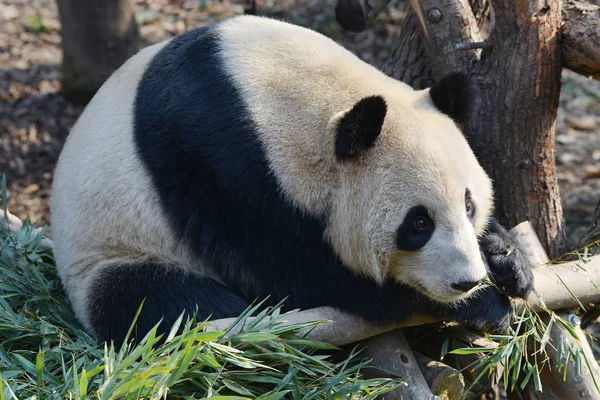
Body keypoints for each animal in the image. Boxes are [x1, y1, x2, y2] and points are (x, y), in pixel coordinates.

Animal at [49, 14, 532, 346]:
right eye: (418, 223)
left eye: (468, 204)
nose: (465, 280)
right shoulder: (225, 168)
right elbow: (295, 276)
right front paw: (479, 304)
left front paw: (507, 259)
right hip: (110, 253)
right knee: (161, 303)